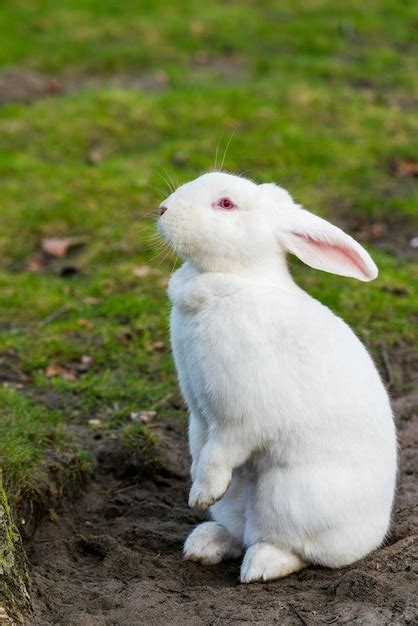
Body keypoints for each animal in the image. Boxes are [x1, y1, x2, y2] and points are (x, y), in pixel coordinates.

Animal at [157, 169, 396, 580]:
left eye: (225, 204)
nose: (162, 209)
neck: (234, 280)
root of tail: (372, 536)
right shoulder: (199, 415)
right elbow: (200, 447)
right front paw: (195, 483)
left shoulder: (239, 419)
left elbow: (218, 454)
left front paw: (200, 494)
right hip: (243, 498)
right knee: (240, 532)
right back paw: (204, 544)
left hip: (287, 496)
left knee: (293, 549)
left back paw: (260, 565)